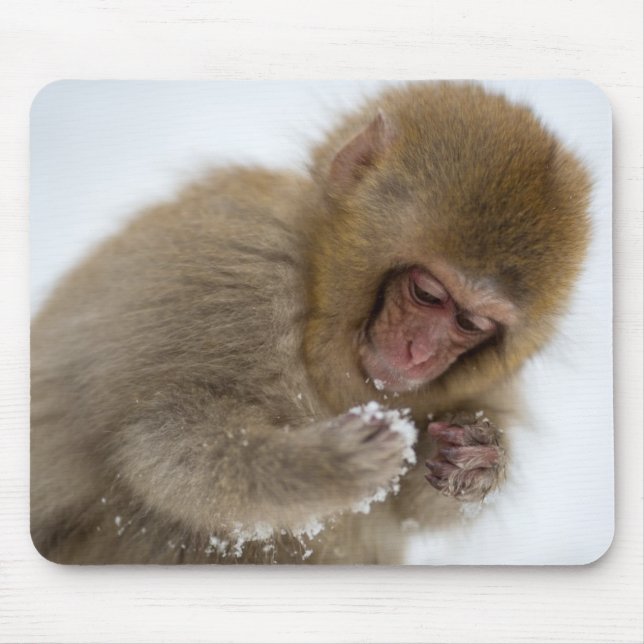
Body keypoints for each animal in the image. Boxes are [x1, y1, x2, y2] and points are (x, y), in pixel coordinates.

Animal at [30, 82, 591, 564]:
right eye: (427, 293)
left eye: (471, 323)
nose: (419, 353)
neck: (316, 295)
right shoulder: (237, 279)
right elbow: (159, 442)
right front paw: (323, 466)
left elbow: (410, 511)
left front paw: (476, 461)